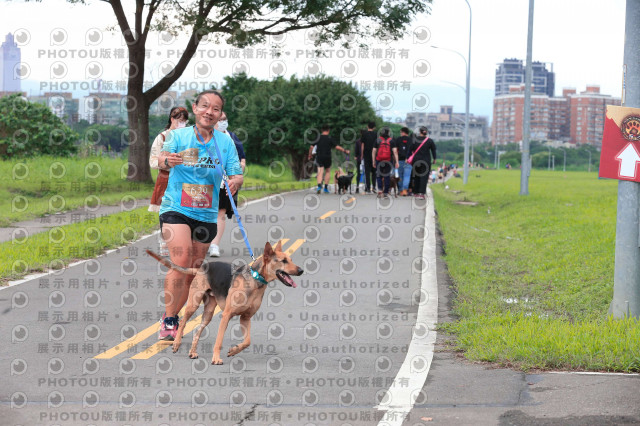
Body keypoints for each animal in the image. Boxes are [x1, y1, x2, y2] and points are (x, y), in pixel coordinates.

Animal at [146, 241, 304, 364]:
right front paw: (216, 359)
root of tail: (202, 267)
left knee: (197, 330)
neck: (255, 279)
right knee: (184, 322)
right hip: (193, 303)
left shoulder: (245, 318)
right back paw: (176, 343)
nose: (301, 270)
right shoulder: (226, 315)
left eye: (290, 259)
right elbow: (219, 341)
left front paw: (233, 351)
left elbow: (247, 341)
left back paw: (192, 352)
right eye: (283, 261)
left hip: (209, 312)